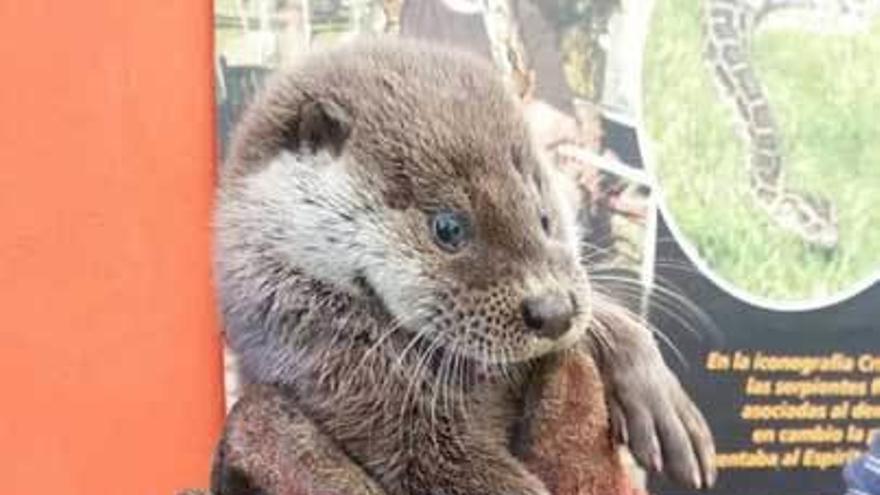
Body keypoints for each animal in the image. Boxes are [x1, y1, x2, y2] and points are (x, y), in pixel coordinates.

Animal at [213, 36, 716, 494]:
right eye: (448, 227)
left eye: (544, 217)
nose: (553, 312)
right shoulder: (356, 390)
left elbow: (601, 313)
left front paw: (659, 398)